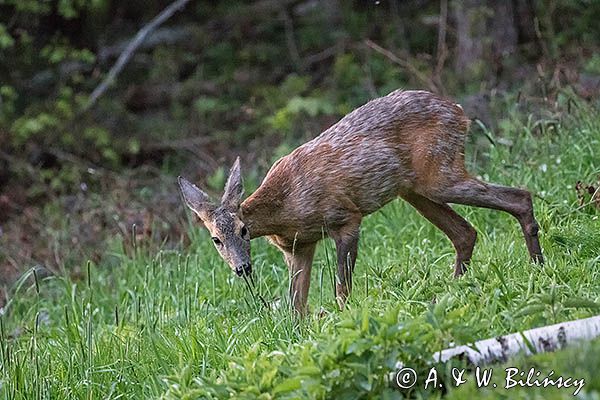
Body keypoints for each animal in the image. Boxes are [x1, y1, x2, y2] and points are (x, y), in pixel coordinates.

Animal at [177, 90, 544, 316]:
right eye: (215, 239)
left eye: (243, 229)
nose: (242, 268)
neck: (285, 209)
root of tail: (458, 110)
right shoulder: (298, 247)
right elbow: (297, 307)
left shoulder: (345, 218)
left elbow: (341, 289)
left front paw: (343, 322)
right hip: (414, 190)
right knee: (465, 232)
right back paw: (455, 291)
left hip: (440, 174)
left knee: (519, 196)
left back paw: (537, 266)